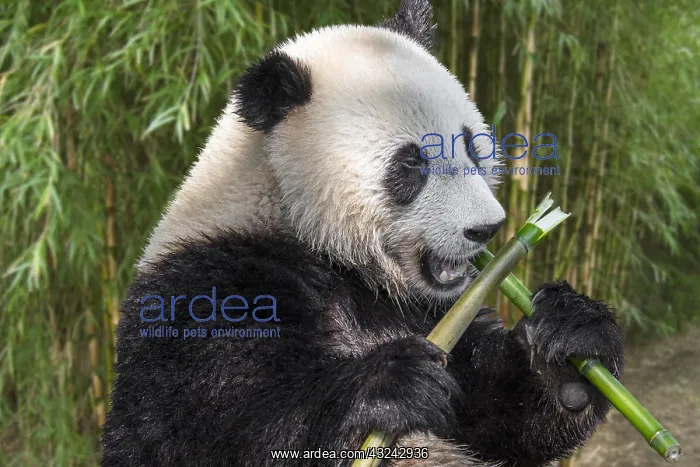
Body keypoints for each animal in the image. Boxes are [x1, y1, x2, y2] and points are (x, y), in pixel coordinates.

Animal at [101, 1, 624, 466]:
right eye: (411, 165)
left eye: (473, 147)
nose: (486, 228)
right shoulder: (209, 290)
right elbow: (222, 430)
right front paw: (394, 384)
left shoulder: (432, 311)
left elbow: (498, 418)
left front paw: (571, 342)